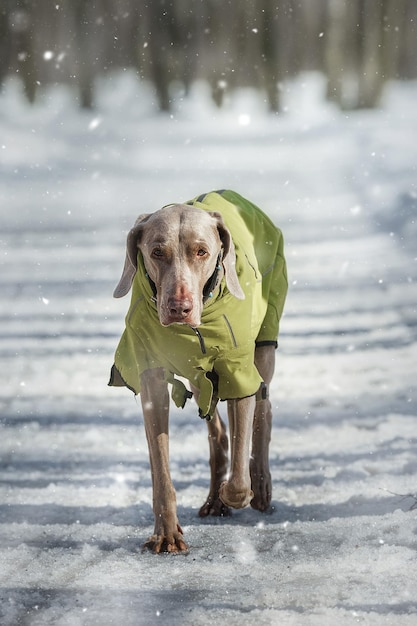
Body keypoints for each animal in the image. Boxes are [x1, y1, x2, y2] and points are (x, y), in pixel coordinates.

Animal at [109, 190, 288, 552]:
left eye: (202, 251)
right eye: (156, 252)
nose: (179, 308)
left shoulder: (238, 371)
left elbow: (239, 480)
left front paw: (236, 491)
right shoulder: (150, 377)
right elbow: (161, 468)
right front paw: (166, 534)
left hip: (264, 341)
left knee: (263, 407)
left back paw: (260, 485)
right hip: (199, 376)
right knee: (216, 424)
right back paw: (214, 497)